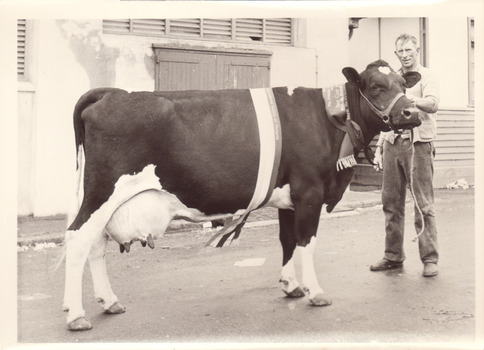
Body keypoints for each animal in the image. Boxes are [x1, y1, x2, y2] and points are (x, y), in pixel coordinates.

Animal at [63, 60, 420, 330]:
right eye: (375, 86)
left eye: (405, 84)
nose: (411, 114)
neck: (330, 120)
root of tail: (110, 93)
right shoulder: (309, 193)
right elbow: (307, 242)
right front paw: (316, 292)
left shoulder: (288, 198)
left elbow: (287, 241)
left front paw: (291, 286)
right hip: (102, 193)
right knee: (78, 239)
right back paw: (77, 315)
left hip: (104, 200)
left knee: (96, 244)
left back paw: (109, 302)